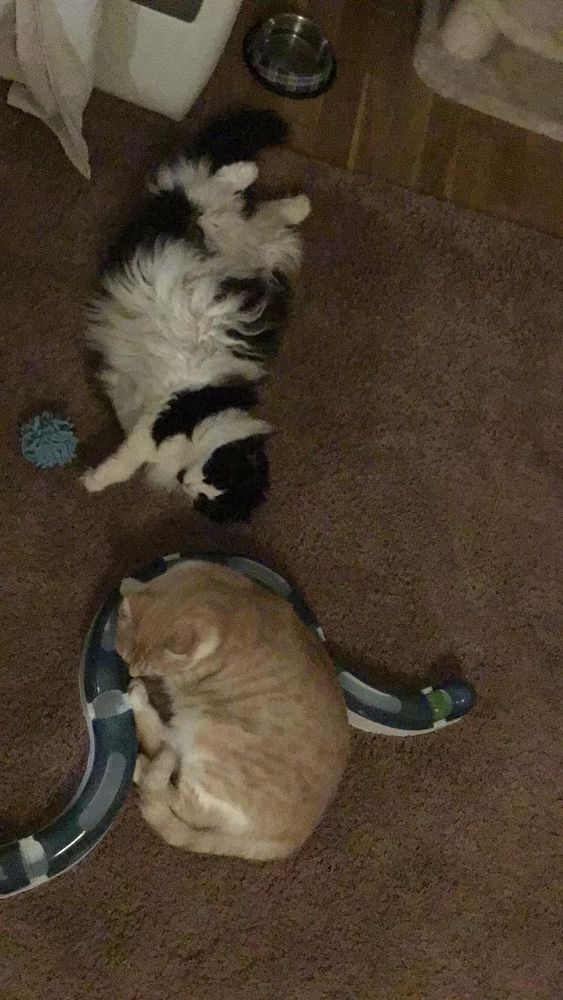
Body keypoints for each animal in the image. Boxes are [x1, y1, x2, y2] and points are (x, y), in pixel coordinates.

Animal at [82, 108, 310, 521]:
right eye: (214, 474)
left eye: (209, 497)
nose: (189, 485)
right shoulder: (168, 408)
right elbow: (125, 460)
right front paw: (93, 481)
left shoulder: (152, 415)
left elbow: (130, 443)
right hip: (196, 214)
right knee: (210, 185)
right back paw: (251, 174)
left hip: (247, 243)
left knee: (264, 216)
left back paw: (300, 205)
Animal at [117, 560, 350, 860]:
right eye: (128, 659)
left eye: (151, 668)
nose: (134, 673)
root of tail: (292, 838)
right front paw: (129, 583)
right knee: (163, 748)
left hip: (207, 734)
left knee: (176, 797)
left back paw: (138, 748)